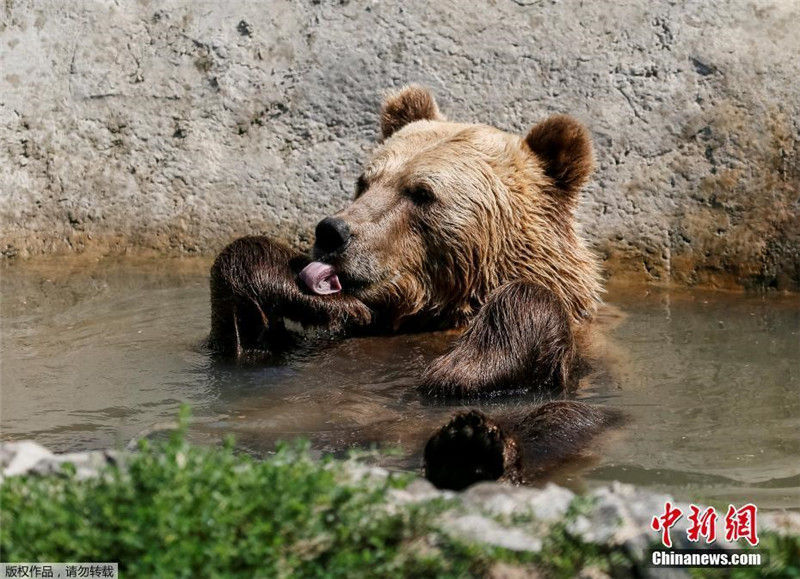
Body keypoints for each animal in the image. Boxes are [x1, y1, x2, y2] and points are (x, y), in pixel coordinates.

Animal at [208, 86, 620, 492]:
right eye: (365, 182)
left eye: (422, 193)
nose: (332, 232)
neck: (446, 308)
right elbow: (248, 341)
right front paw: (279, 283)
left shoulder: (588, 354)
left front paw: (467, 367)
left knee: (565, 419)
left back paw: (470, 449)